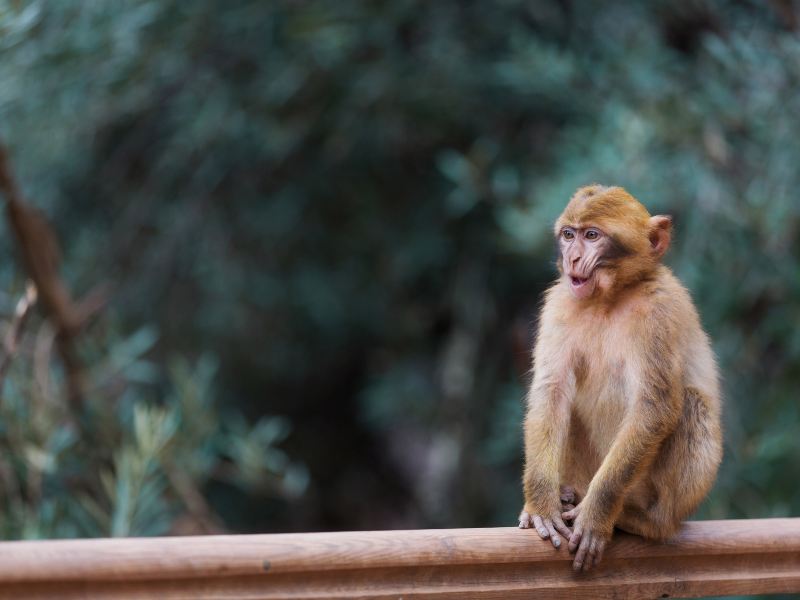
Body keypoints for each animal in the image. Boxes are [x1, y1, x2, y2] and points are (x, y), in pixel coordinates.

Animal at [520, 184, 724, 572]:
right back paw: (566, 495)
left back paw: (643, 521)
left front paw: (595, 517)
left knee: (691, 403)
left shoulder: (658, 312)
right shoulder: (559, 303)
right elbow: (551, 393)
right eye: (568, 235)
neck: (608, 297)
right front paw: (541, 505)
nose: (572, 259)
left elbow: (654, 407)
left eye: (592, 235)